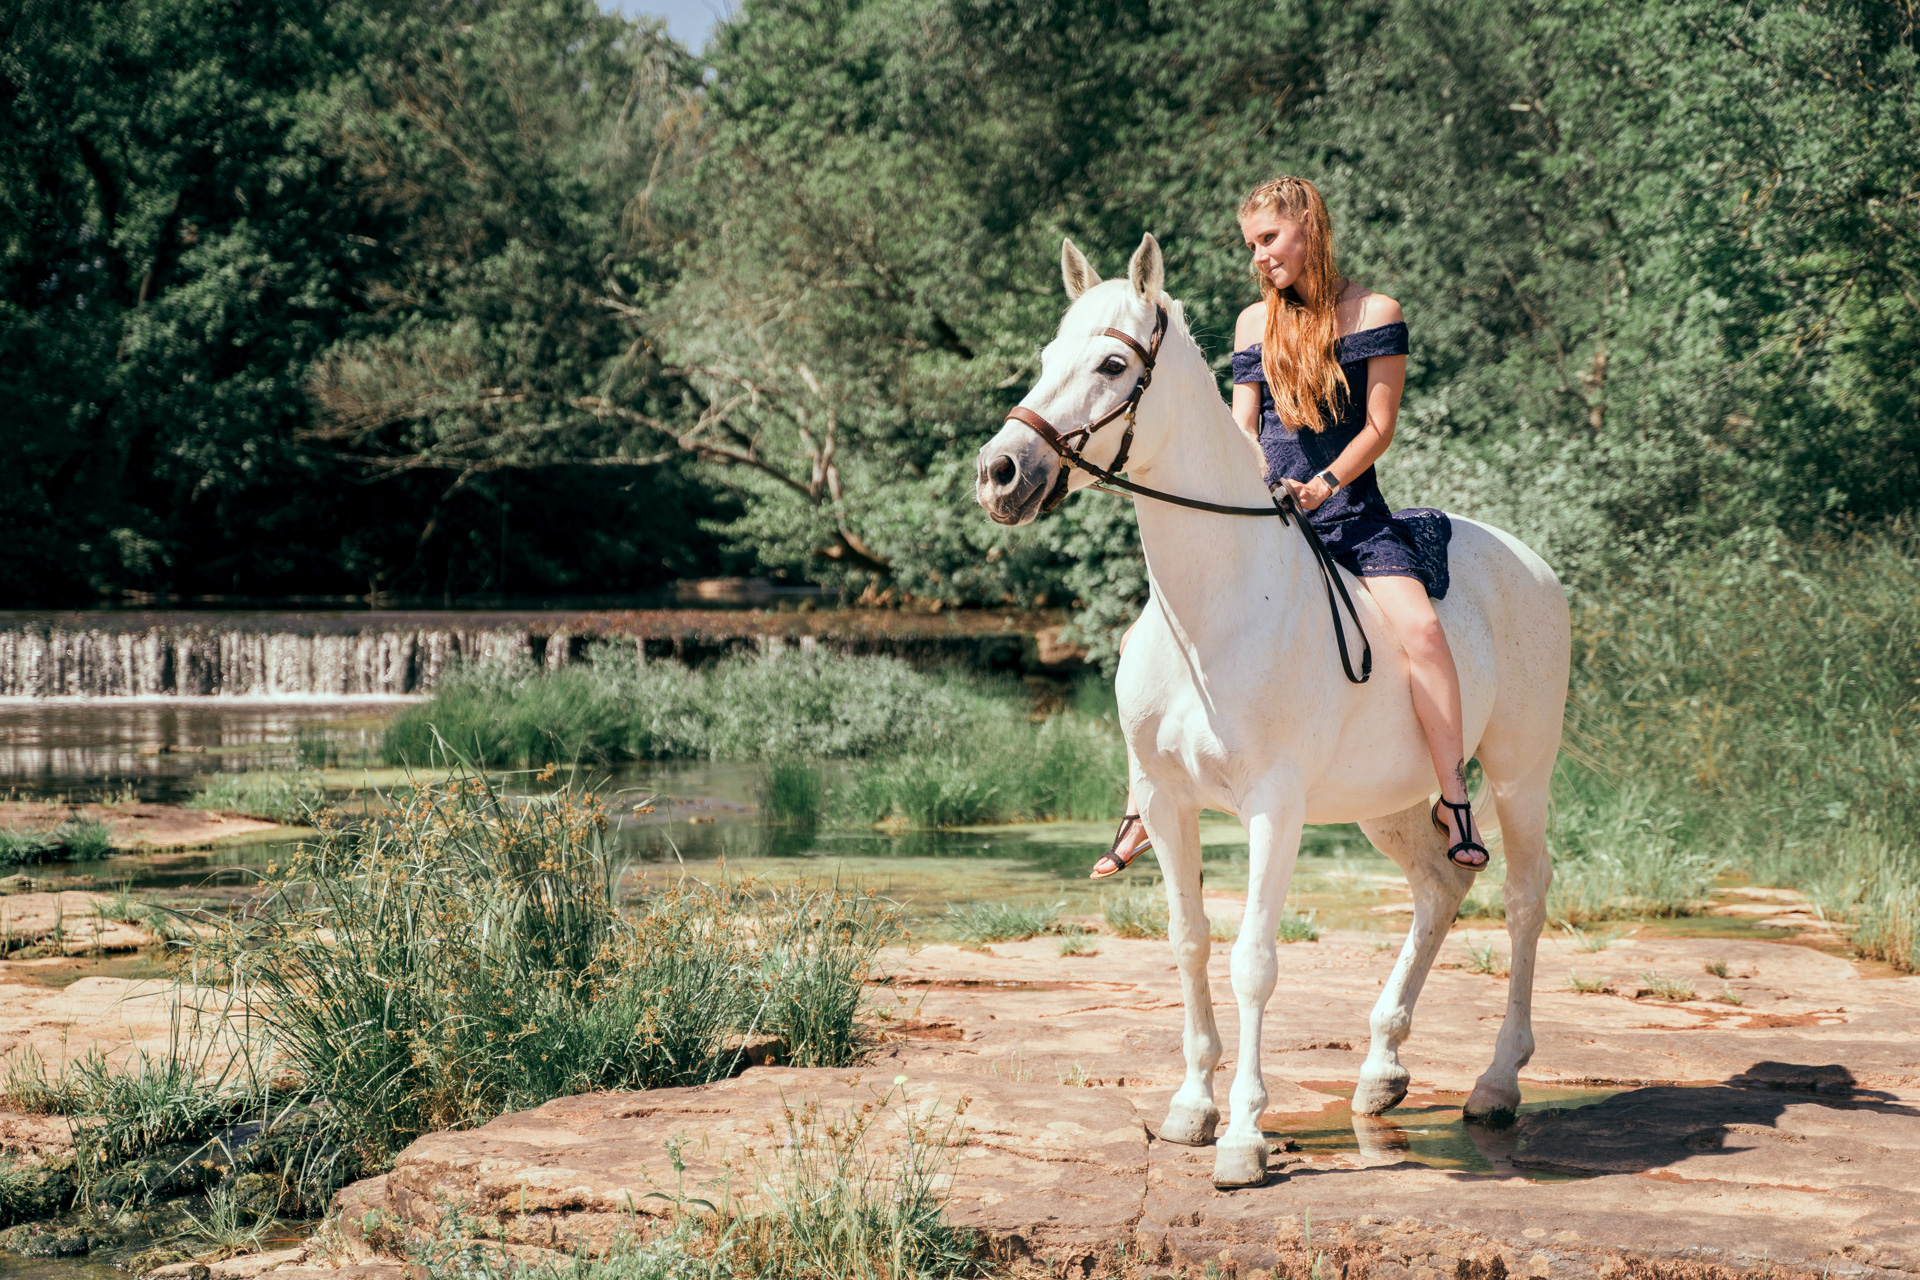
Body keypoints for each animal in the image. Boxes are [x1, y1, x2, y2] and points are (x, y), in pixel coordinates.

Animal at [974, 234, 1571, 1189]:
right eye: (1044, 358)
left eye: (1112, 365)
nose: (1000, 474)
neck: (1216, 609)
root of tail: (1530, 561)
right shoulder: (1168, 805)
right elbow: (1188, 941)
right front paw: (1192, 1107)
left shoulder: (1273, 810)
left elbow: (1254, 960)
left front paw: (1246, 1138)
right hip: (1389, 802)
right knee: (1439, 888)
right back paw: (1380, 1071)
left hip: (1520, 778)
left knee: (1521, 899)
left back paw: (1496, 1083)